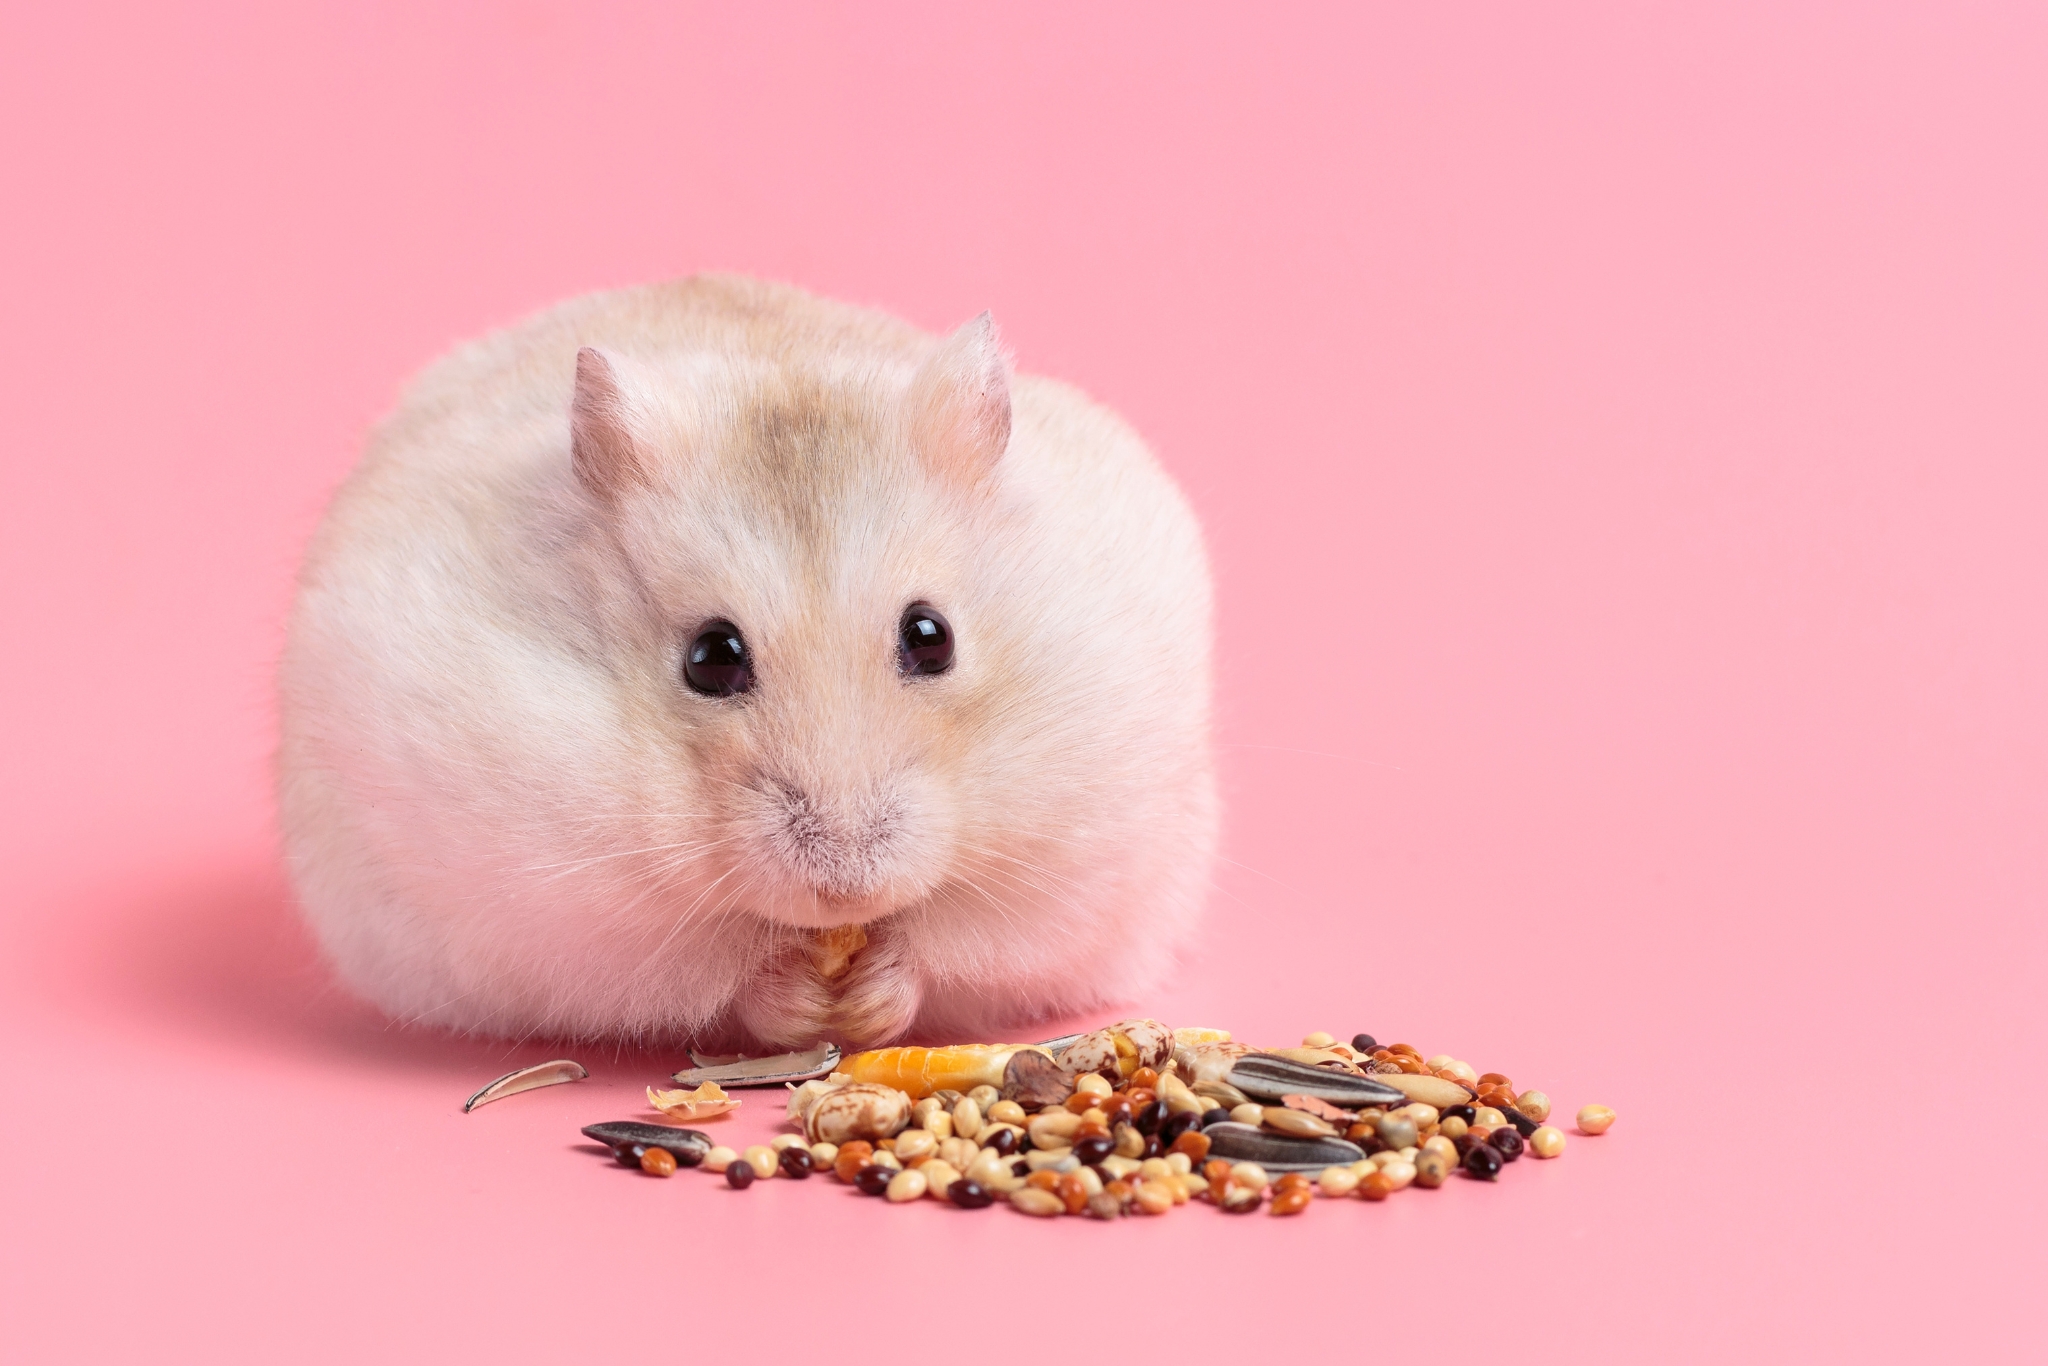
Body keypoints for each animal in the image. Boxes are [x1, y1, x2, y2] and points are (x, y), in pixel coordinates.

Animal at [277, 274, 1216, 1050]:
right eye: (712, 656)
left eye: (932, 635)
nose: (846, 889)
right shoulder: (554, 912)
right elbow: (717, 967)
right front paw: (801, 998)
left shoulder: (1077, 864)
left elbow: (951, 944)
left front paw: (870, 995)